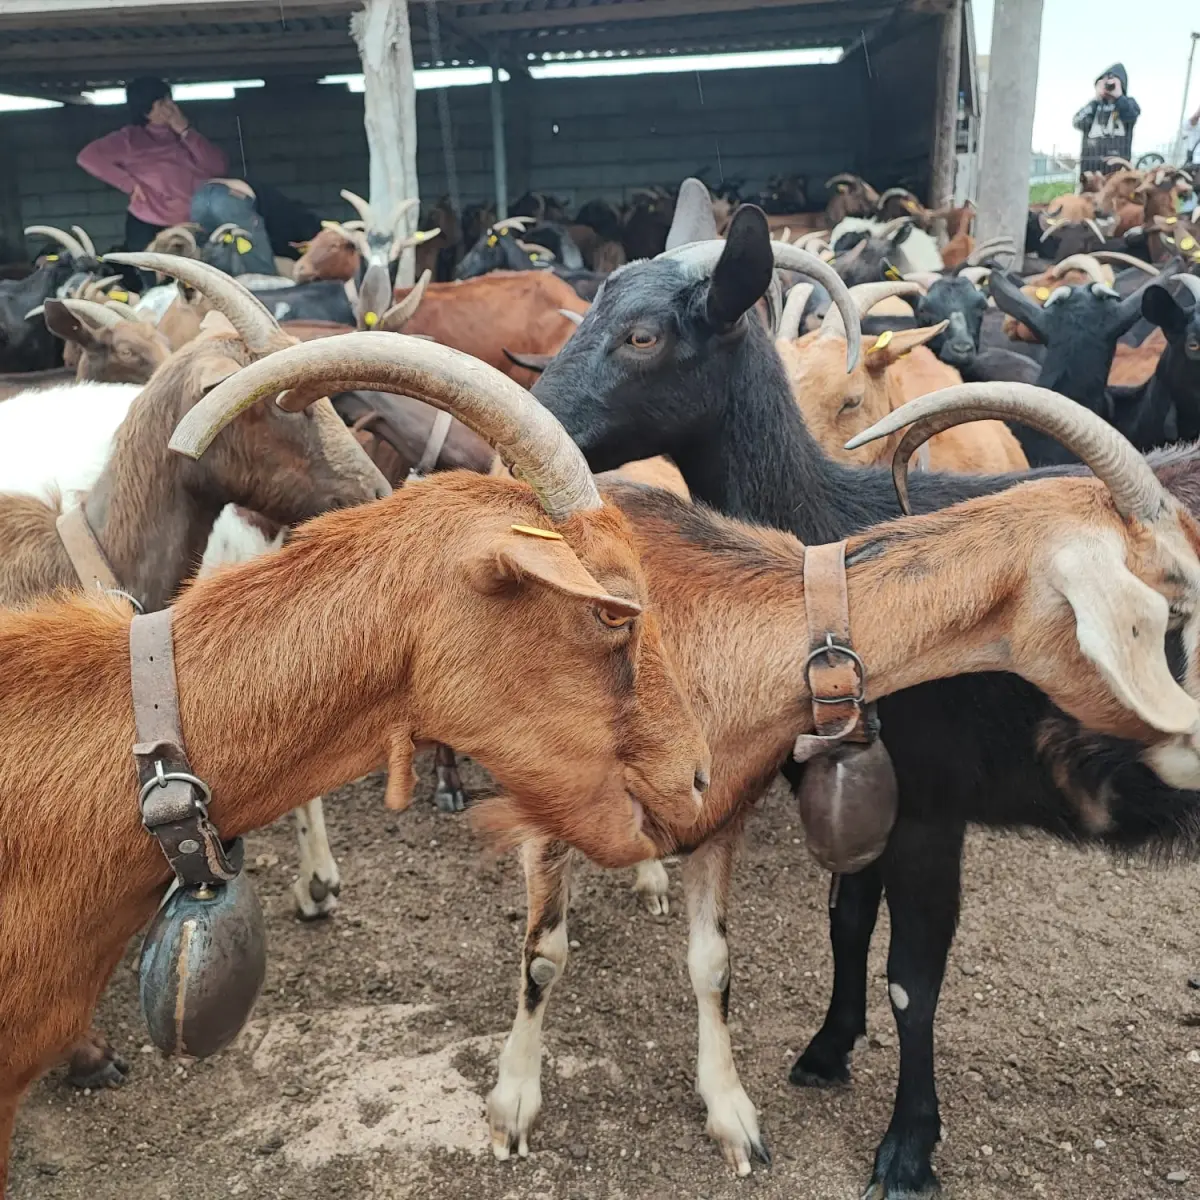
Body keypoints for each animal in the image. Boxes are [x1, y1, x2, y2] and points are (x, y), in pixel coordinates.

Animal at [525, 197, 1200, 1196]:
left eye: (644, 335)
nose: (524, 432)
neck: (834, 549)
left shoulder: (932, 805)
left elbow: (911, 979)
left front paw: (908, 1148)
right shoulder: (850, 782)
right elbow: (845, 923)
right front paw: (825, 1051)